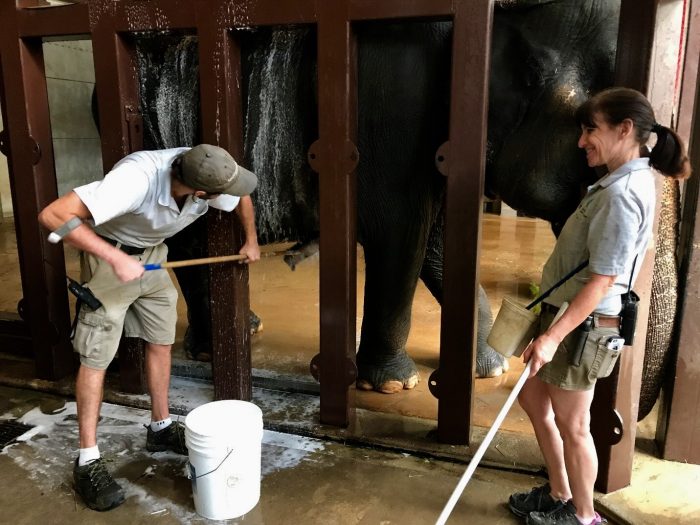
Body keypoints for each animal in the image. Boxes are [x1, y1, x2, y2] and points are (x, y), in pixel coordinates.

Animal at [130, 0, 672, 404]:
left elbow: (439, 239)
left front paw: (487, 368)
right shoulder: (393, 91)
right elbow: (399, 226)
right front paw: (392, 385)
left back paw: (238, 332)